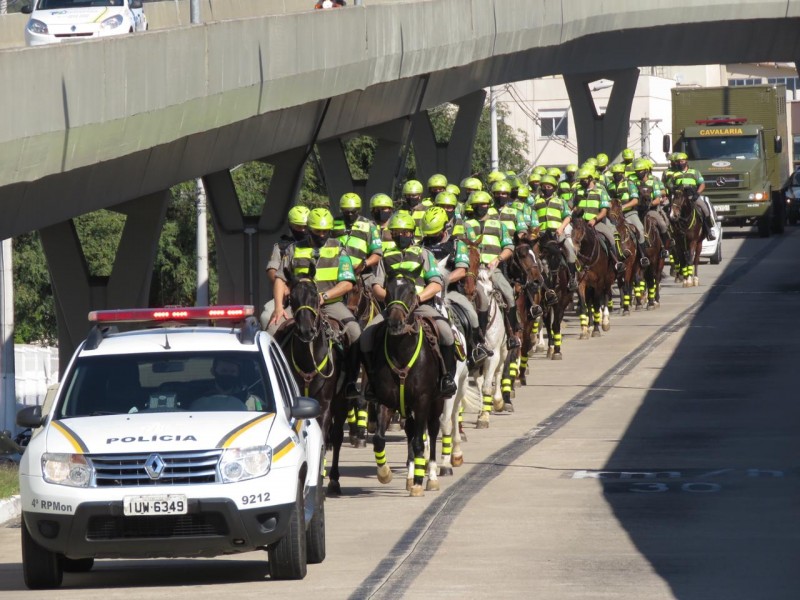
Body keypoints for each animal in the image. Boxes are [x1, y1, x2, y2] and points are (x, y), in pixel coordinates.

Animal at [280, 274, 348, 494]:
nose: (306, 331)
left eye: (314, 296)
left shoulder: (325, 404)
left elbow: (324, 437)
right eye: (292, 298)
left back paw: (334, 479)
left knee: (337, 436)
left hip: (342, 402)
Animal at [368, 272, 444, 496]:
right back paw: (410, 476)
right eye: (387, 289)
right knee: (410, 431)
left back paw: (431, 477)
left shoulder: (422, 400)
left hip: (437, 401)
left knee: (432, 430)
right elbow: (378, 439)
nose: (395, 323)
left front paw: (419, 483)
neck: (403, 353)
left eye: (411, 291)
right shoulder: (385, 400)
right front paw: (384, 473)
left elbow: (420, 442)